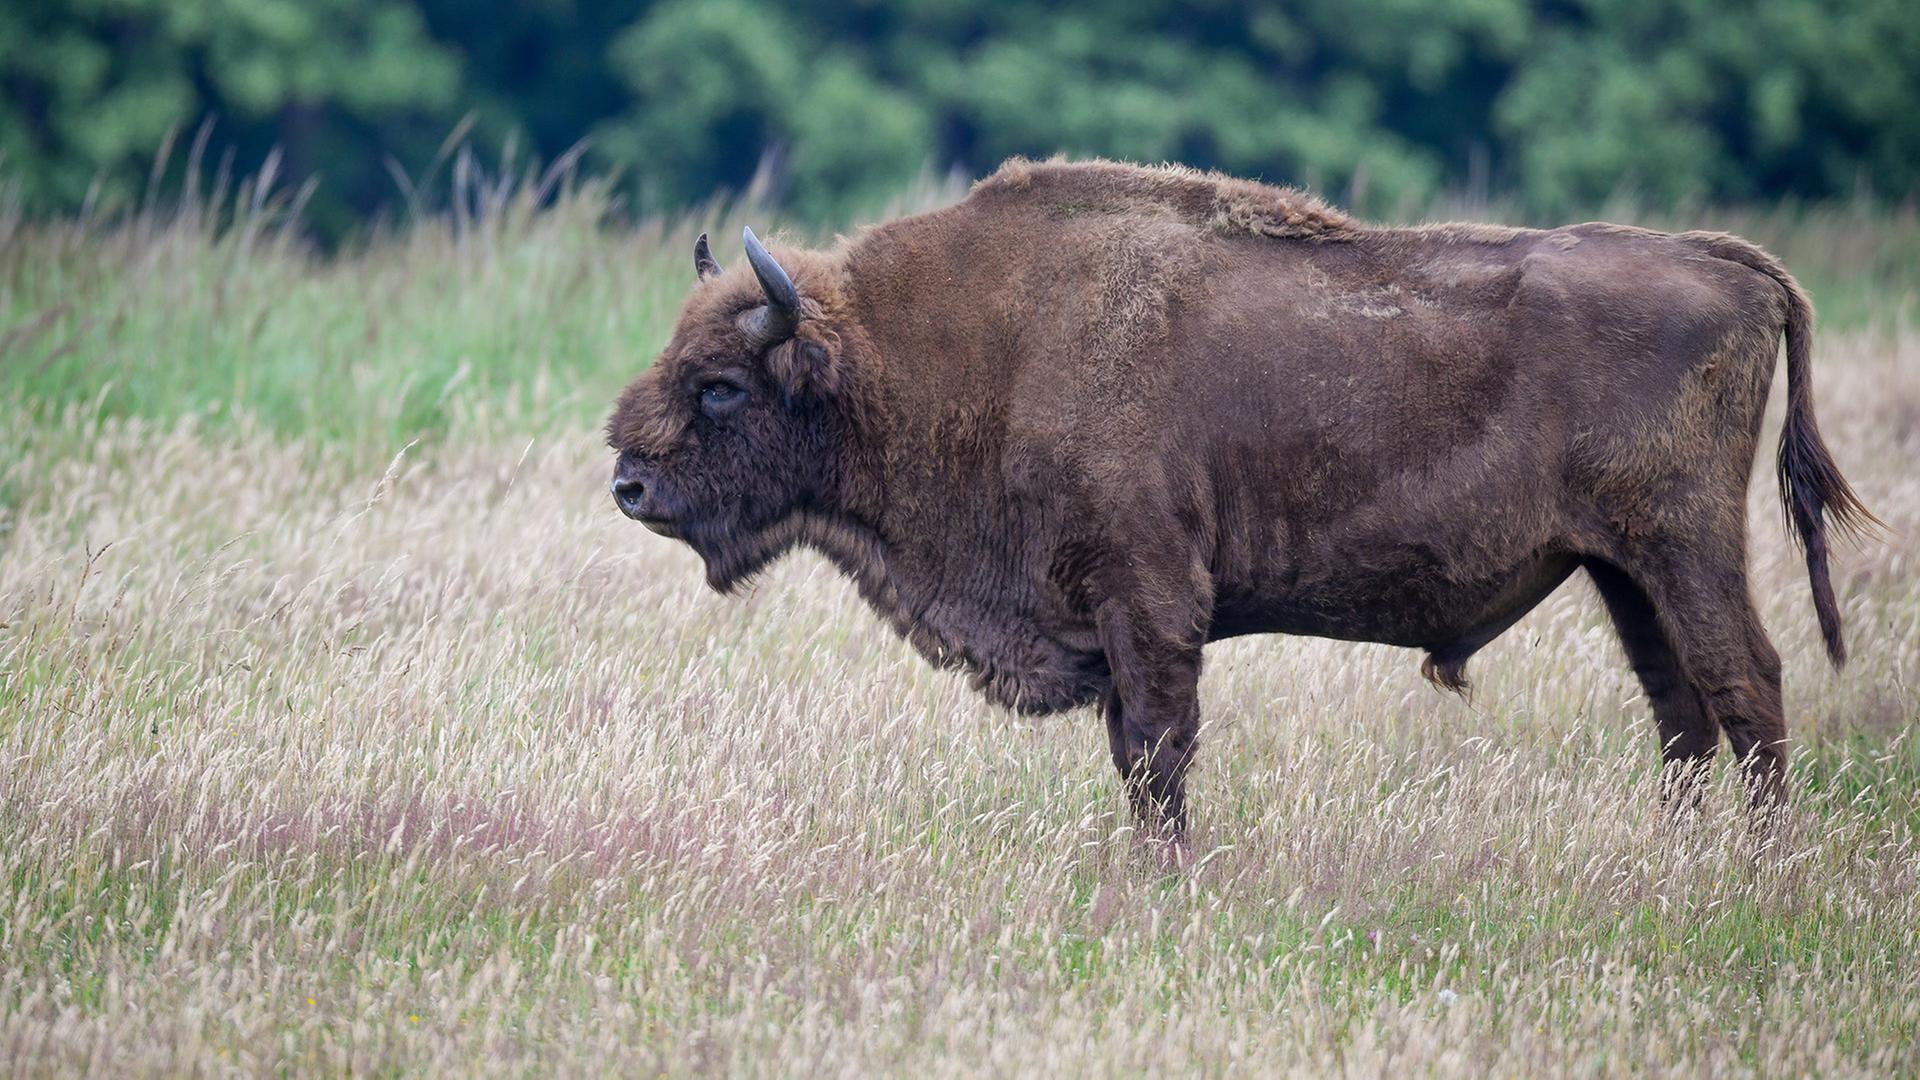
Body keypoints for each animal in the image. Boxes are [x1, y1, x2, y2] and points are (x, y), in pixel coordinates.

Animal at [606, 157, 1875, 852]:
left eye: (721, 386)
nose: (627, 481)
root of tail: (1734, 267)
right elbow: (1136, 753)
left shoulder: (1148, 602)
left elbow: (1158, 754)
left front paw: (1167, 875)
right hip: (1622, 570)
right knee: (1683, 713)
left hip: (1683, 547)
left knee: (1746, 689)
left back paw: (1761, 873)